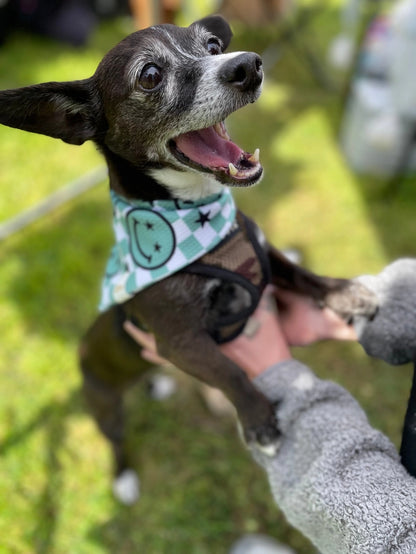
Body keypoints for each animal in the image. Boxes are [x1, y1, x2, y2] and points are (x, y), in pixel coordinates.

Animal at [0, 15, 376, 502]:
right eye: (150, 75)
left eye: (213, 45)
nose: (248, 65)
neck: (198, 218)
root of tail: (81, 349)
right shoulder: (181, 342)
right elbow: (229, 371)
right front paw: (258, 421)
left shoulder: (263, 252)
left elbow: (301, 273)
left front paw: (344, 292)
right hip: (104, 406)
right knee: (117, 440)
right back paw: (124, 478)